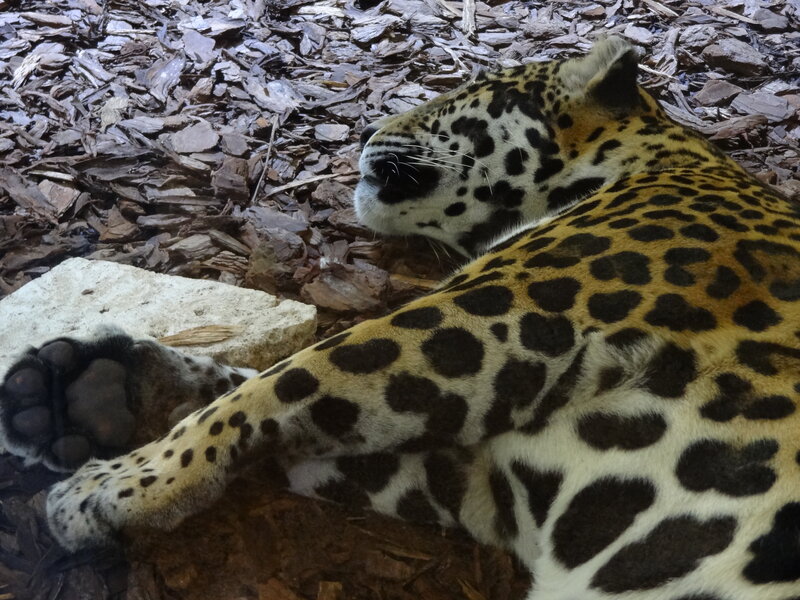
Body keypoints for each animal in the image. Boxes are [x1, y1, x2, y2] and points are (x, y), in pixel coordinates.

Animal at [2, 37, 800, 599]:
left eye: (463, 94)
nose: (363, 134)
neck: (661, 162)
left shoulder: (500, 314)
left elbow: (286, 380)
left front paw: (116, 486)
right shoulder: (487, 480)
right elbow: (270, 400)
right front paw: (101, 392)